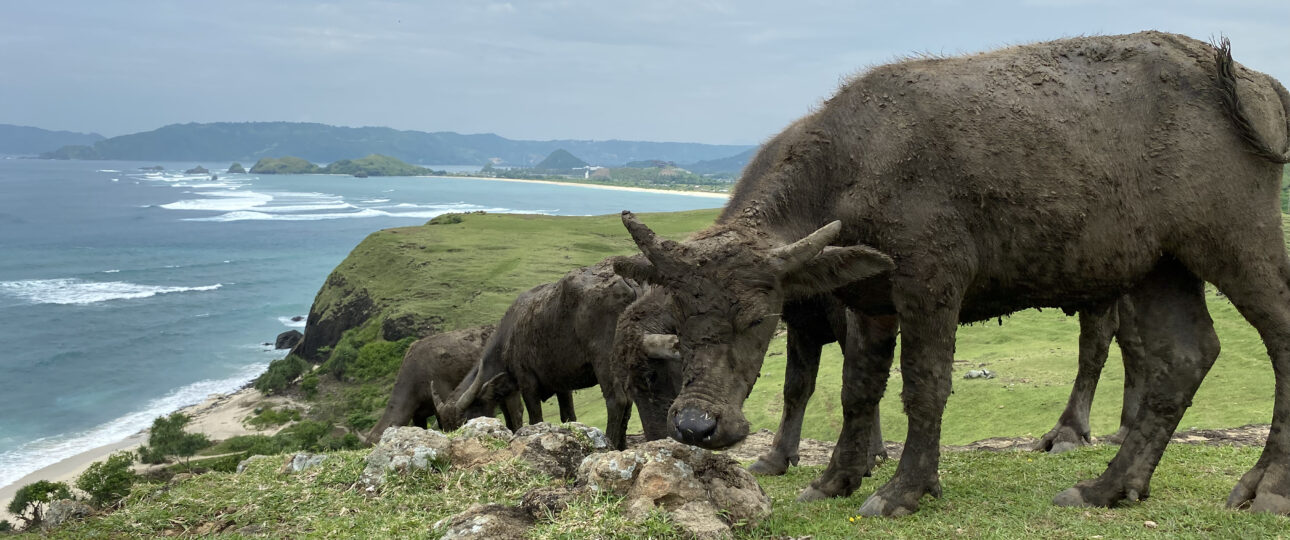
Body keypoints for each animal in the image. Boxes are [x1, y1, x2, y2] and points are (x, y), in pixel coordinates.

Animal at [614, 31, 1290, 518]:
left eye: (759, 319)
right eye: (682, 320)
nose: (695, 426)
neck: (860, 164)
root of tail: (1247, 81)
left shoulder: (931, 285)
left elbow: (924, 386)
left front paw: (903, 489)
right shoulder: (868, 302)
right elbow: (859, 390)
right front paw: (836, 479)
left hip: (1238, 242)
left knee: (1276, 336)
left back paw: (1265, 487)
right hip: (1161, 267)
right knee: (1184, 357)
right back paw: (1109, 487)